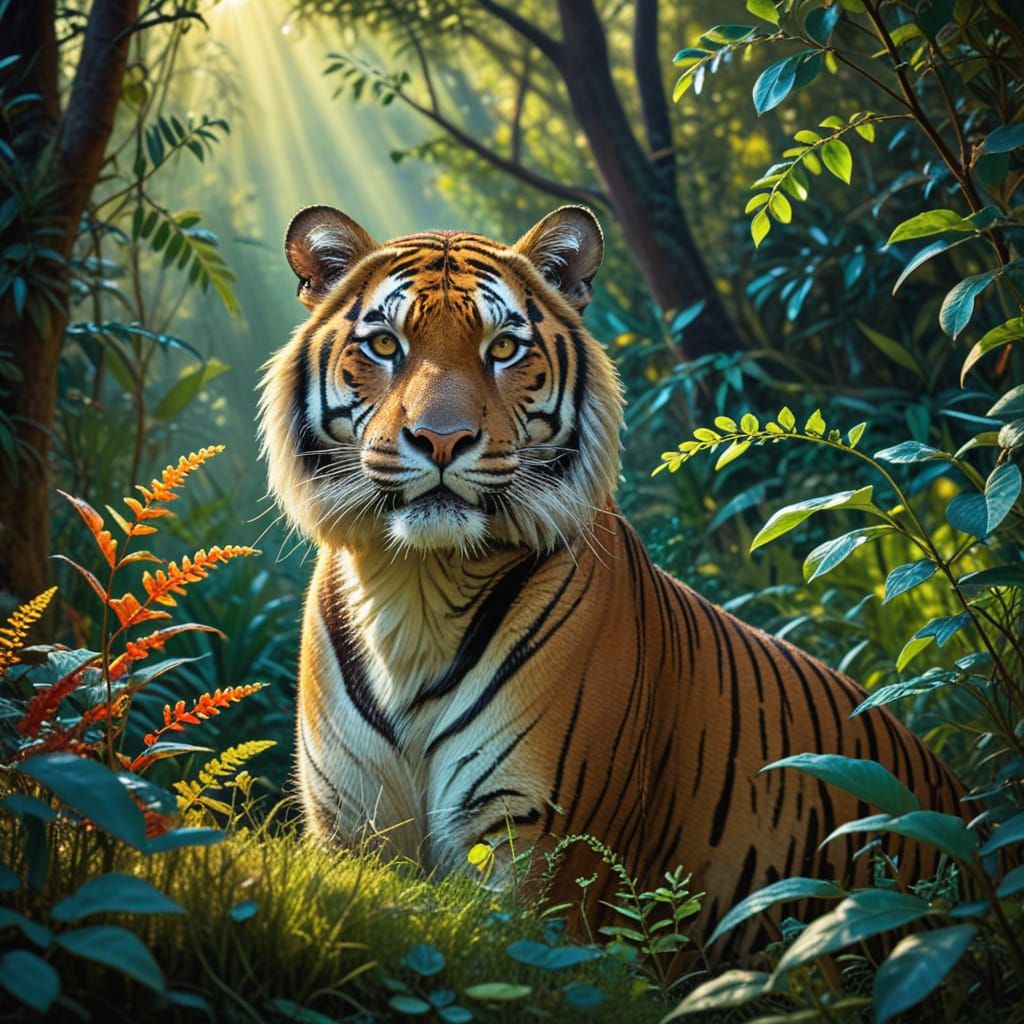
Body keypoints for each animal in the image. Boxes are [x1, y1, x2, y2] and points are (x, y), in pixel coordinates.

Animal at [258, 203, 965, 962]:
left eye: (503, 349)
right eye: (386, 344)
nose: (442, 440)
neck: (418, 586)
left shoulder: (539, 840)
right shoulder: (348, 828)